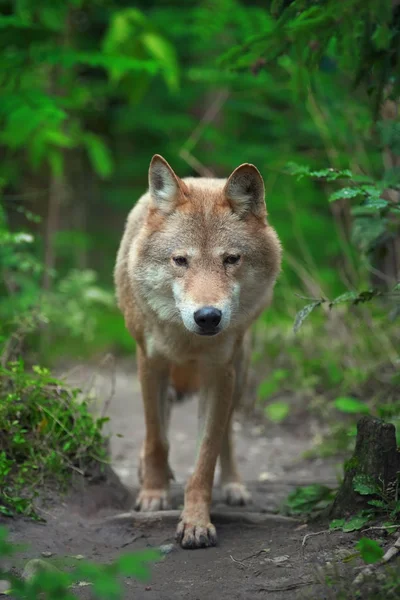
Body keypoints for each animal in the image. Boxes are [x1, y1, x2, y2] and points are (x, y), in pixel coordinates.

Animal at [113, 155, 282, 548]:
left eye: (231, 259)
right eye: (180, 260)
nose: (207, 316)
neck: (187, 340)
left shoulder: (220, 374)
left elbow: (206, 457)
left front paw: (195, 522)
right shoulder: (150, 363)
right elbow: (156, 438)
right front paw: (153, 494)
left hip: (240, 372)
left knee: (229, 438)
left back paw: (234, 486)